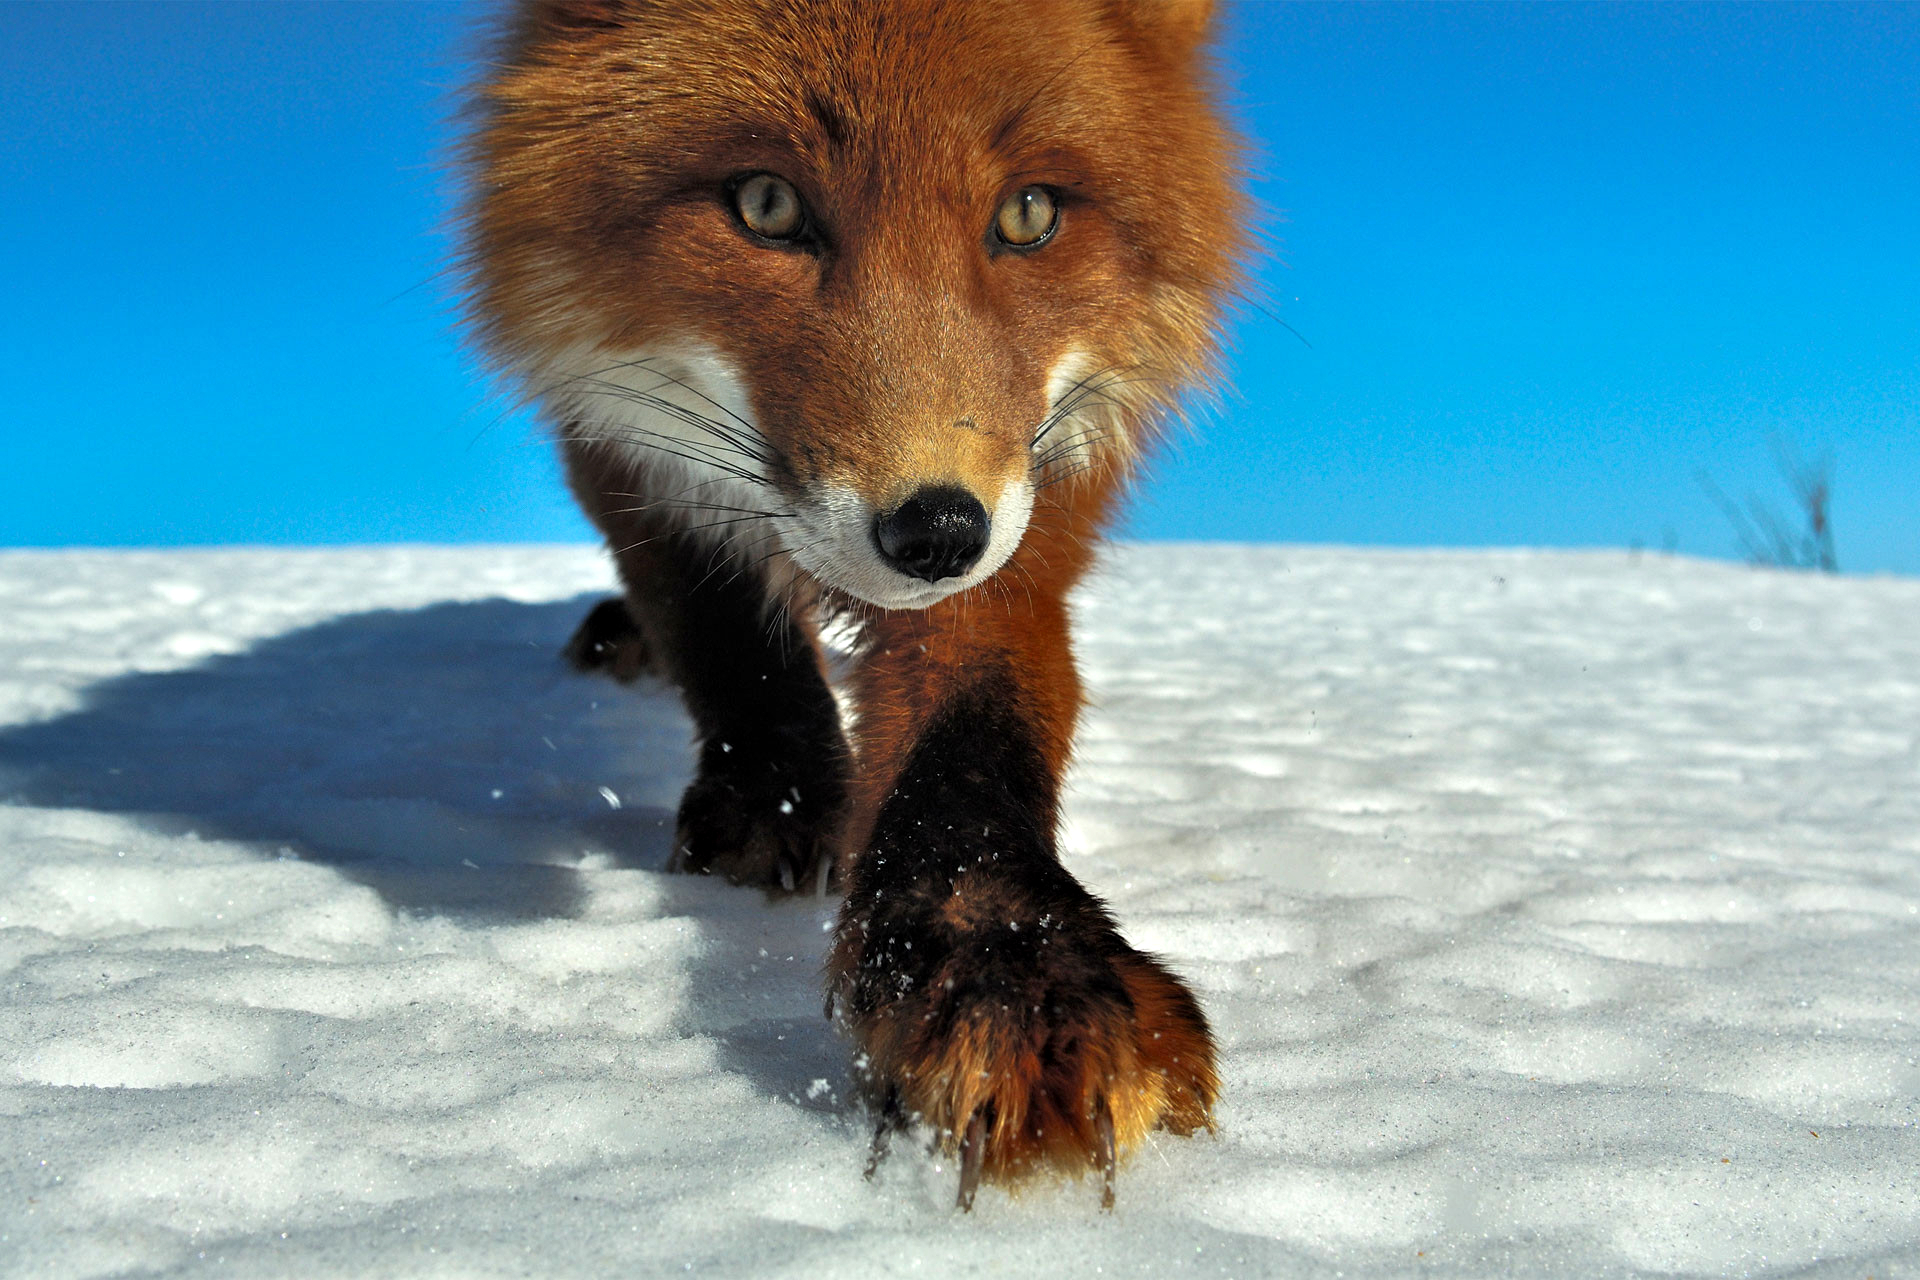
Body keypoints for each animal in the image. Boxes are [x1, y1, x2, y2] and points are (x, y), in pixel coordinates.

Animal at [460, 0, 1244, 1212]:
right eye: (766, 204)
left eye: (1029, 214)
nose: (935, 532)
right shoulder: (622, 446)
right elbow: (724, 631)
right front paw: (776, 795)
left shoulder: (1032, 501)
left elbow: (974, 727)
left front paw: (1006, 953)